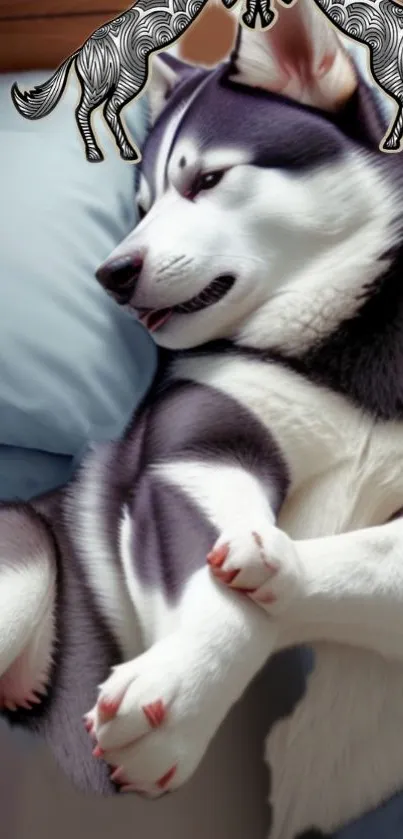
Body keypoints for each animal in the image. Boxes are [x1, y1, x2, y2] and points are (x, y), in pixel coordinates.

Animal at [3, 3, 403, 836]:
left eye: (208, 179)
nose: (111, 274)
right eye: (141, 205)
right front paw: (181, 697)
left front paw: (281, 567)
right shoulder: (196, 448)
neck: (334, 345)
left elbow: (375, 556)